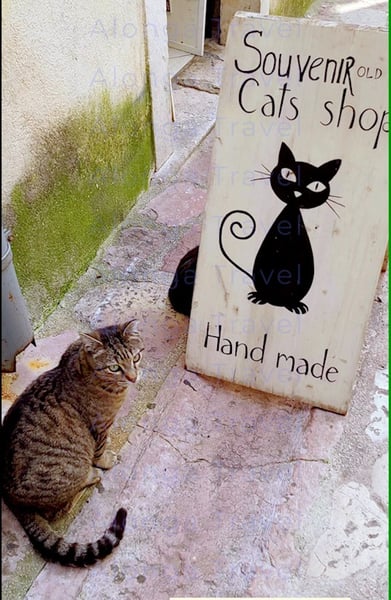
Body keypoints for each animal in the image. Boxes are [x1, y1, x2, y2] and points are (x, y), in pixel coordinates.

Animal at [0, 322, 145, 564]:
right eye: (114, 367)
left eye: (136, 357)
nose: (133, 378)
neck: (83, 365)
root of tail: (12, 500)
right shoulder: (100, 426)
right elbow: (100, 451)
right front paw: (105, 460)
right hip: (69, 470)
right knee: (60, 509)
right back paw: (91, 476)